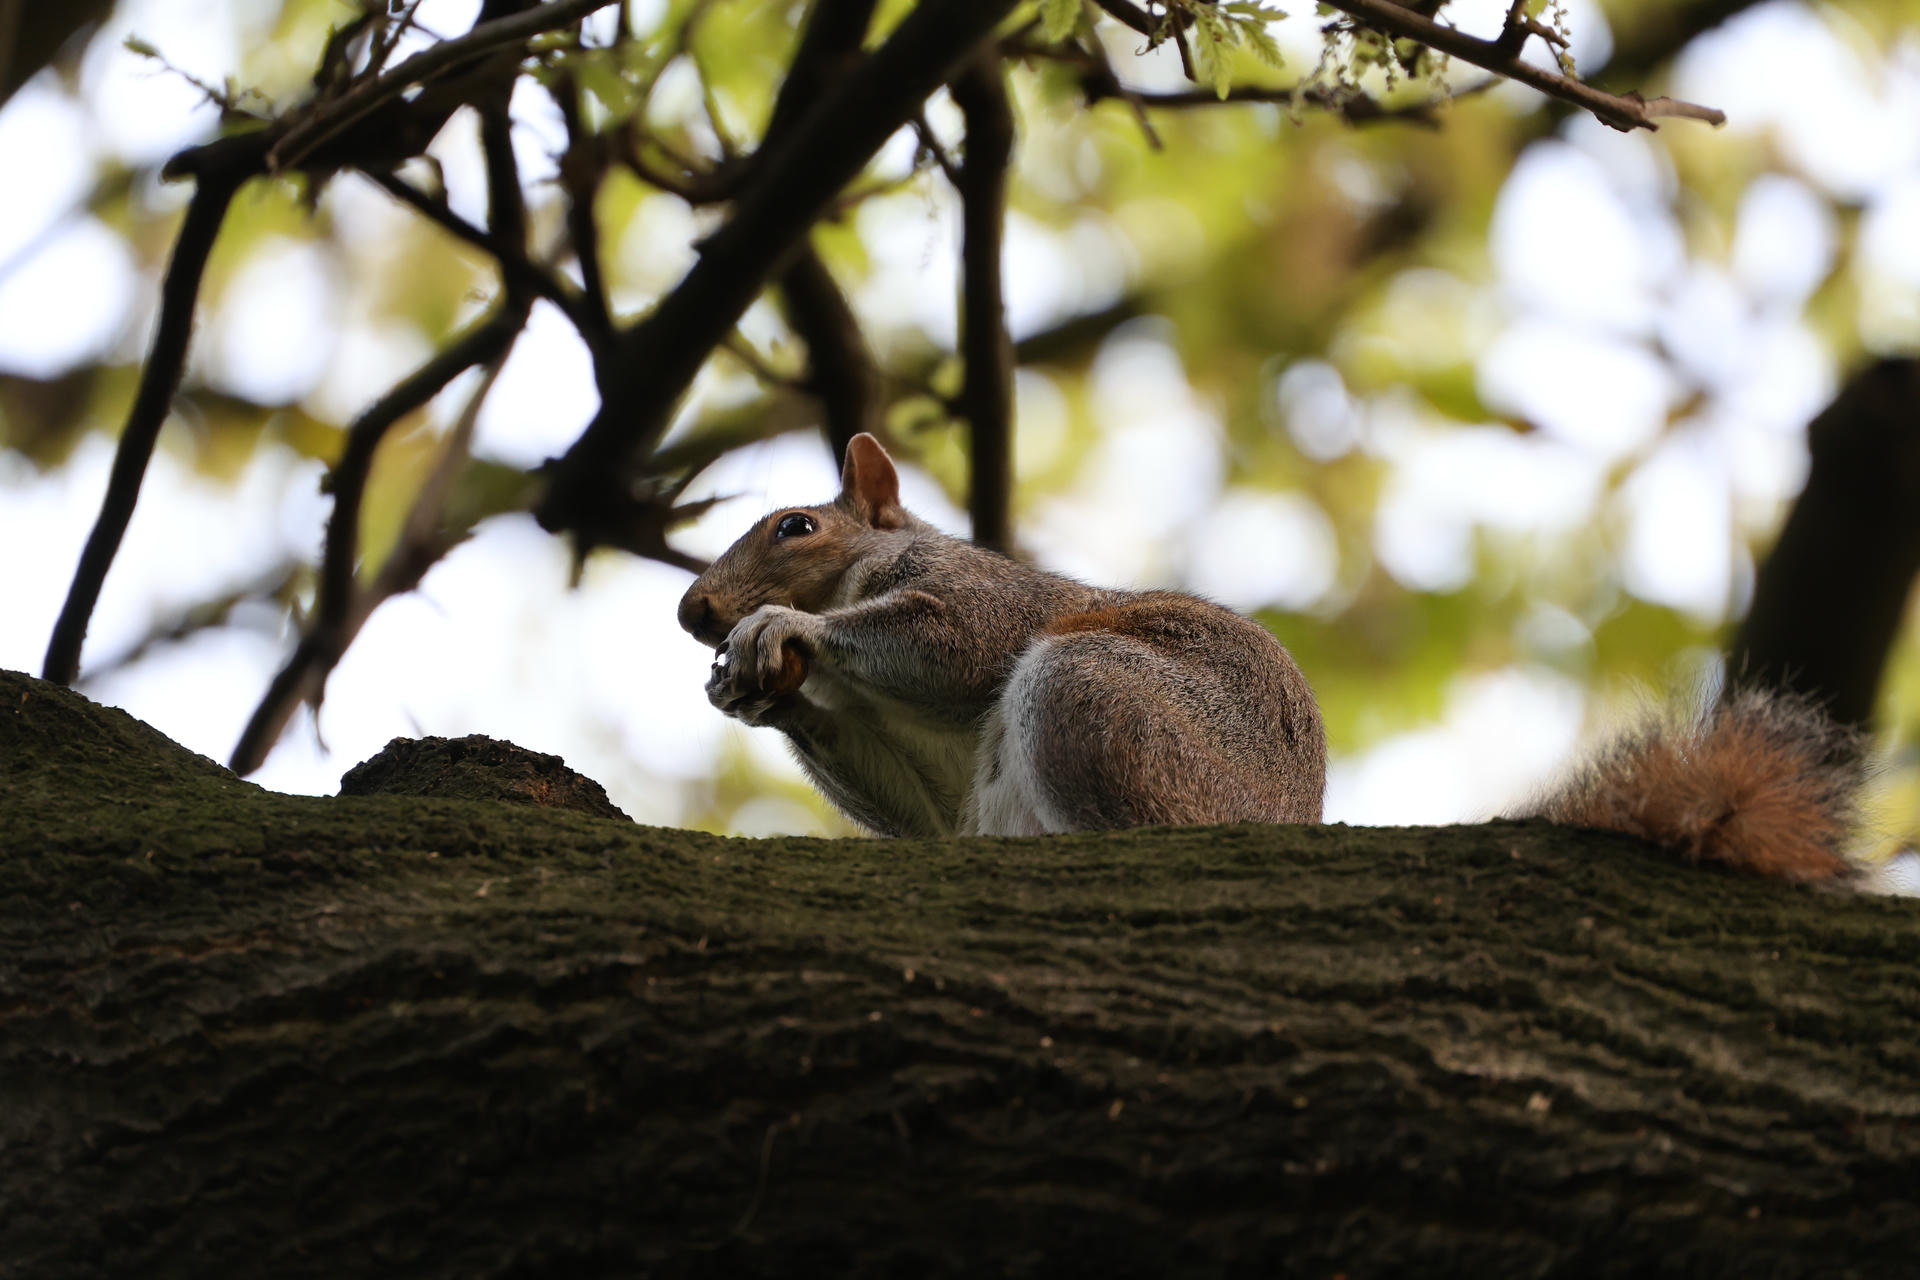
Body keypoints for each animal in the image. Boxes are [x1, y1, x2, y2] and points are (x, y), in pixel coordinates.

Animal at [678, 433, 1866, 883]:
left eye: (795, 526)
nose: (695, 610)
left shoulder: (983, 606)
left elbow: (948, 645)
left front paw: (781, 632)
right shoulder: (930, 783)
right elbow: (925, 812)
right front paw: (754, 690)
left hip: (1100, 696)